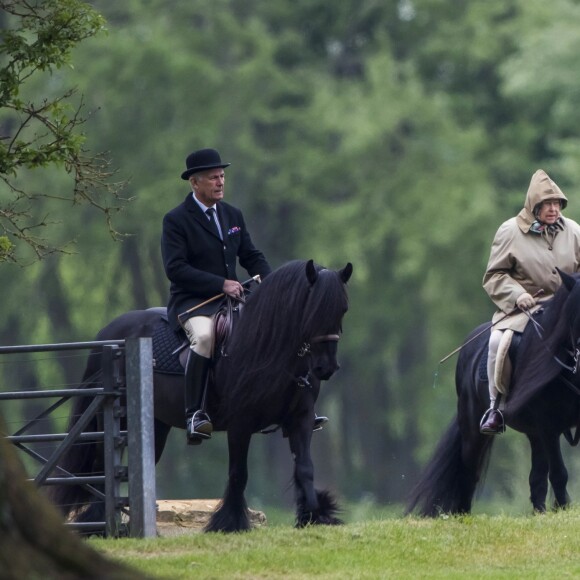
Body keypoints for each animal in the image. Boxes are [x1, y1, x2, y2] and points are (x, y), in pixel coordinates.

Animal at [48, 260, 354, 532]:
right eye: (313, 309)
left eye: (343, 309)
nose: (326, 368)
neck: (268, 345)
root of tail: (107, 335)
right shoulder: (240, 423)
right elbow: (238, 473)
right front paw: (230, 523)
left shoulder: (301, 419)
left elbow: (305, 468)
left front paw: (315, 516)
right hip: (113, 422)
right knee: (103, 469)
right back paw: (97, 524)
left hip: (154, 427)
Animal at [406, 270, 580, 516]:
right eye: (574, 314)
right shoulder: (549, 427)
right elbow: (559, 473)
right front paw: (563, 509)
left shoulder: (546, 430)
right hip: (473, 428)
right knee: (468, 471)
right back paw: (463, 515)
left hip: (533, 433)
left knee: (536, 478)